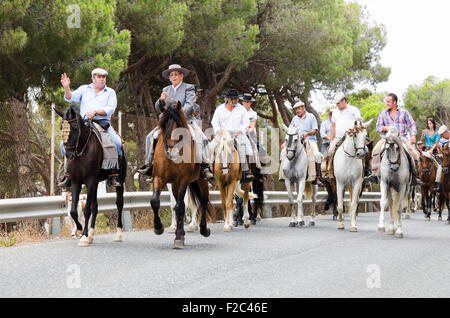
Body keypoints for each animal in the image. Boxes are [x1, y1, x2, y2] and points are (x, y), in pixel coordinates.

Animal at [56, 105, 127, 245]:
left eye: (75, 128)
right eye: (61, 127)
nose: (69, 155)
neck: (82, 150)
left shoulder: (89, 181)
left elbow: (87, 209)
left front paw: (83, 236)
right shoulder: (77, 181)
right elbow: (74, 211)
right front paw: (80, 229)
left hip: (119, 181)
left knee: (119, 204)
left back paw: (118, 234)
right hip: (96, 183)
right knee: (95, 207)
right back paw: (91, 234)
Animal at [150, 100, 214, 250]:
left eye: (178, 125)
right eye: (163, 125)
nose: (171, 152)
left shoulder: (183, 180)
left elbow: (180, 207)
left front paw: (178, 237)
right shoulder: (159, 178)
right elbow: (155, 202)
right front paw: (158, 227)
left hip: (201, 181)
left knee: (202, 201)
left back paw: (203, 229)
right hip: (174, 184)